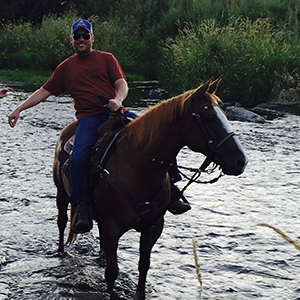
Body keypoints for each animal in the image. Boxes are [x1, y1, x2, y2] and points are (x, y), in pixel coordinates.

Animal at [52, 78, 247, 300]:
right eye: (210, 118)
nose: (241, 161)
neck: (138, 167)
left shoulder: (153, 226)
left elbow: (143, 266)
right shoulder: (112, 226)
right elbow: (112, 272)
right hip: (61, 194)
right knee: (62, 222)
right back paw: (60, 252)